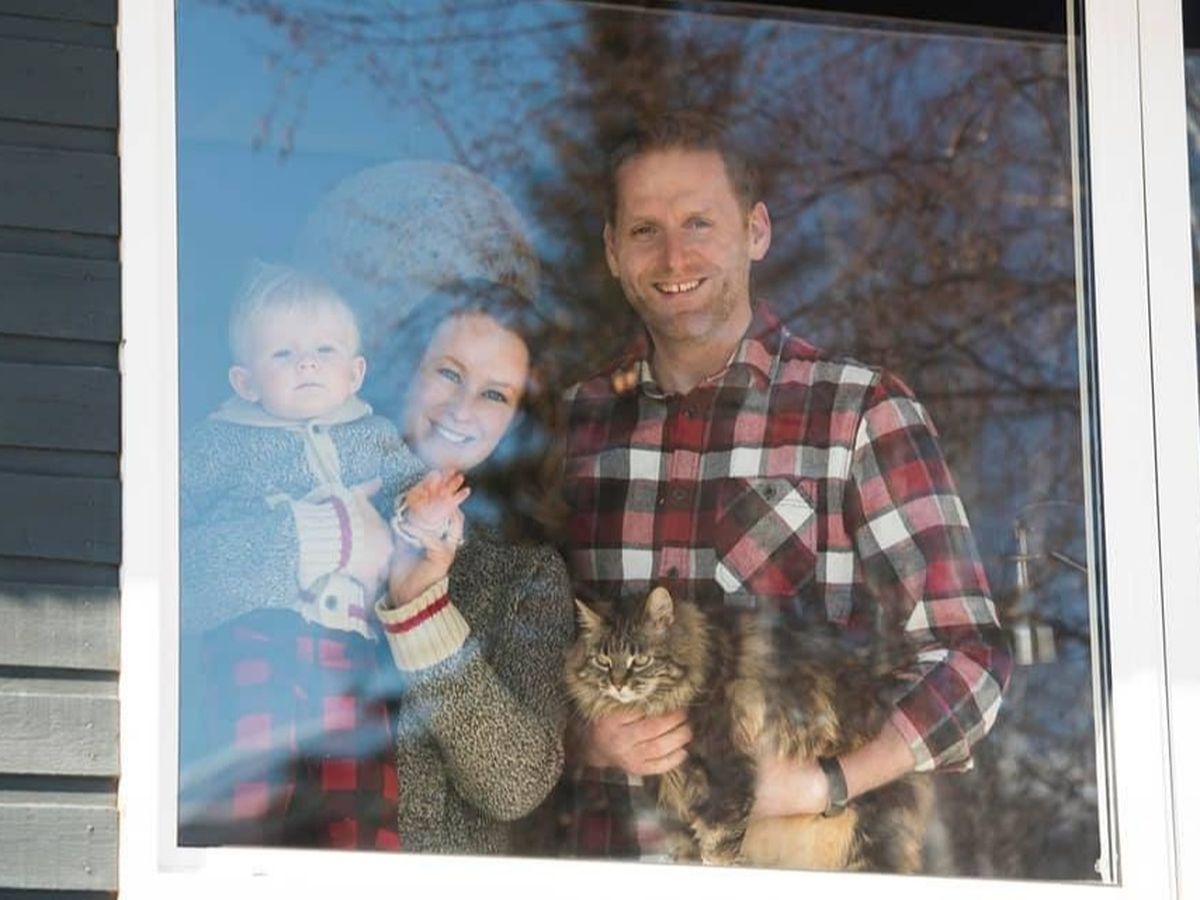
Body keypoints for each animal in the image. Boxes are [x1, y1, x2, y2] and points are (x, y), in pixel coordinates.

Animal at [564, 586, 930, 871]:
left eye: (640, 660)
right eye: (603, 661)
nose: (618, 684)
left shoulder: (725, 775)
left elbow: (718, 846)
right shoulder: (672, 792)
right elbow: (685, 846)